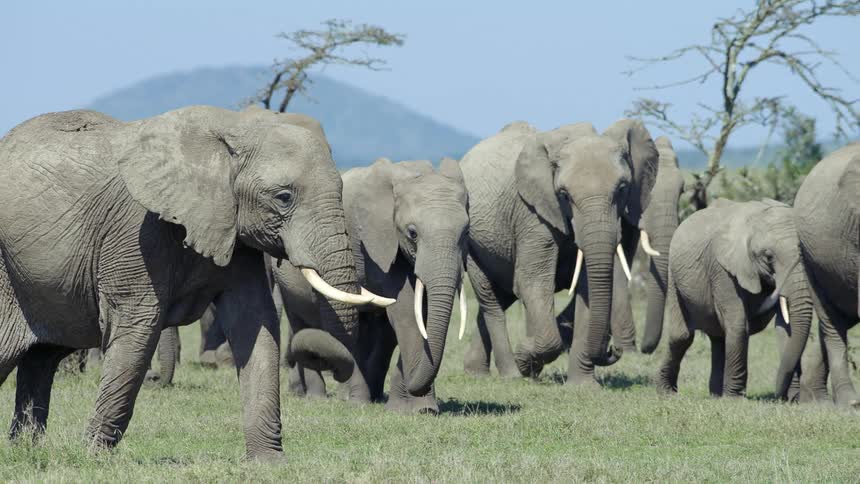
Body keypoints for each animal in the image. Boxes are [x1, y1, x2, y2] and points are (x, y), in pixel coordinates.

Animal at [0, 106, 390, 458]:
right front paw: (94, 458)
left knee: (40, 359)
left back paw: (27, 451)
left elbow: (255, 324)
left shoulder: (234, 233)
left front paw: (269, 462)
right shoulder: (135, 233)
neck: (232, 130)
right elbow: (138, 327)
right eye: (284, 197)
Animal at [276, 158, 470, 413]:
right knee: (305, 322)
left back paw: (365, 397)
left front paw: (403, 409)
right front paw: (422, 410)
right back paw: (331, 399)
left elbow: (418, 315)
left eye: (466, 232)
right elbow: (406, 313)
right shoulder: (374, 242)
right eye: (412, 233)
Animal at [461, 119, 660, 380]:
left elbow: (587, 288)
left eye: (622, 188)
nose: (613, 350)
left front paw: (583, 385)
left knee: (501, 296)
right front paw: (525, 359)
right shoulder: (532, 214)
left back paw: (477, 372)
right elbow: (533, 282)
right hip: (473, 244)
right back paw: (510, 374)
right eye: (564, 195)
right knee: (490, 298)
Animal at [656, 199, 814, 398]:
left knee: (718, 337)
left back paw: (716, 396)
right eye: (768, 256)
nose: (780, 396)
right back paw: (667, 393)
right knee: (682, 336)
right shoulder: (723, 269)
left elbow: (787, 328)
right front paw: (735, 398)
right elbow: (738, 323)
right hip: (673, 276)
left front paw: (793, 399)